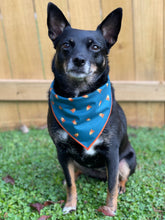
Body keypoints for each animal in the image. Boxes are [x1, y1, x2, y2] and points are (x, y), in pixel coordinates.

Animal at [46, 2, 137, 217]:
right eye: (66, 45)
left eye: (95, 46)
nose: (79, 60)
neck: (80, 99)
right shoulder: (62, 152)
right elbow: (71, 183)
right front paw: (70, 204)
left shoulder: (112, 154)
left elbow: (111, 186)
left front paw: (110, 208)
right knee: (73, 174)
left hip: (127, 160)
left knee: (120, 177)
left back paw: (121, 186)